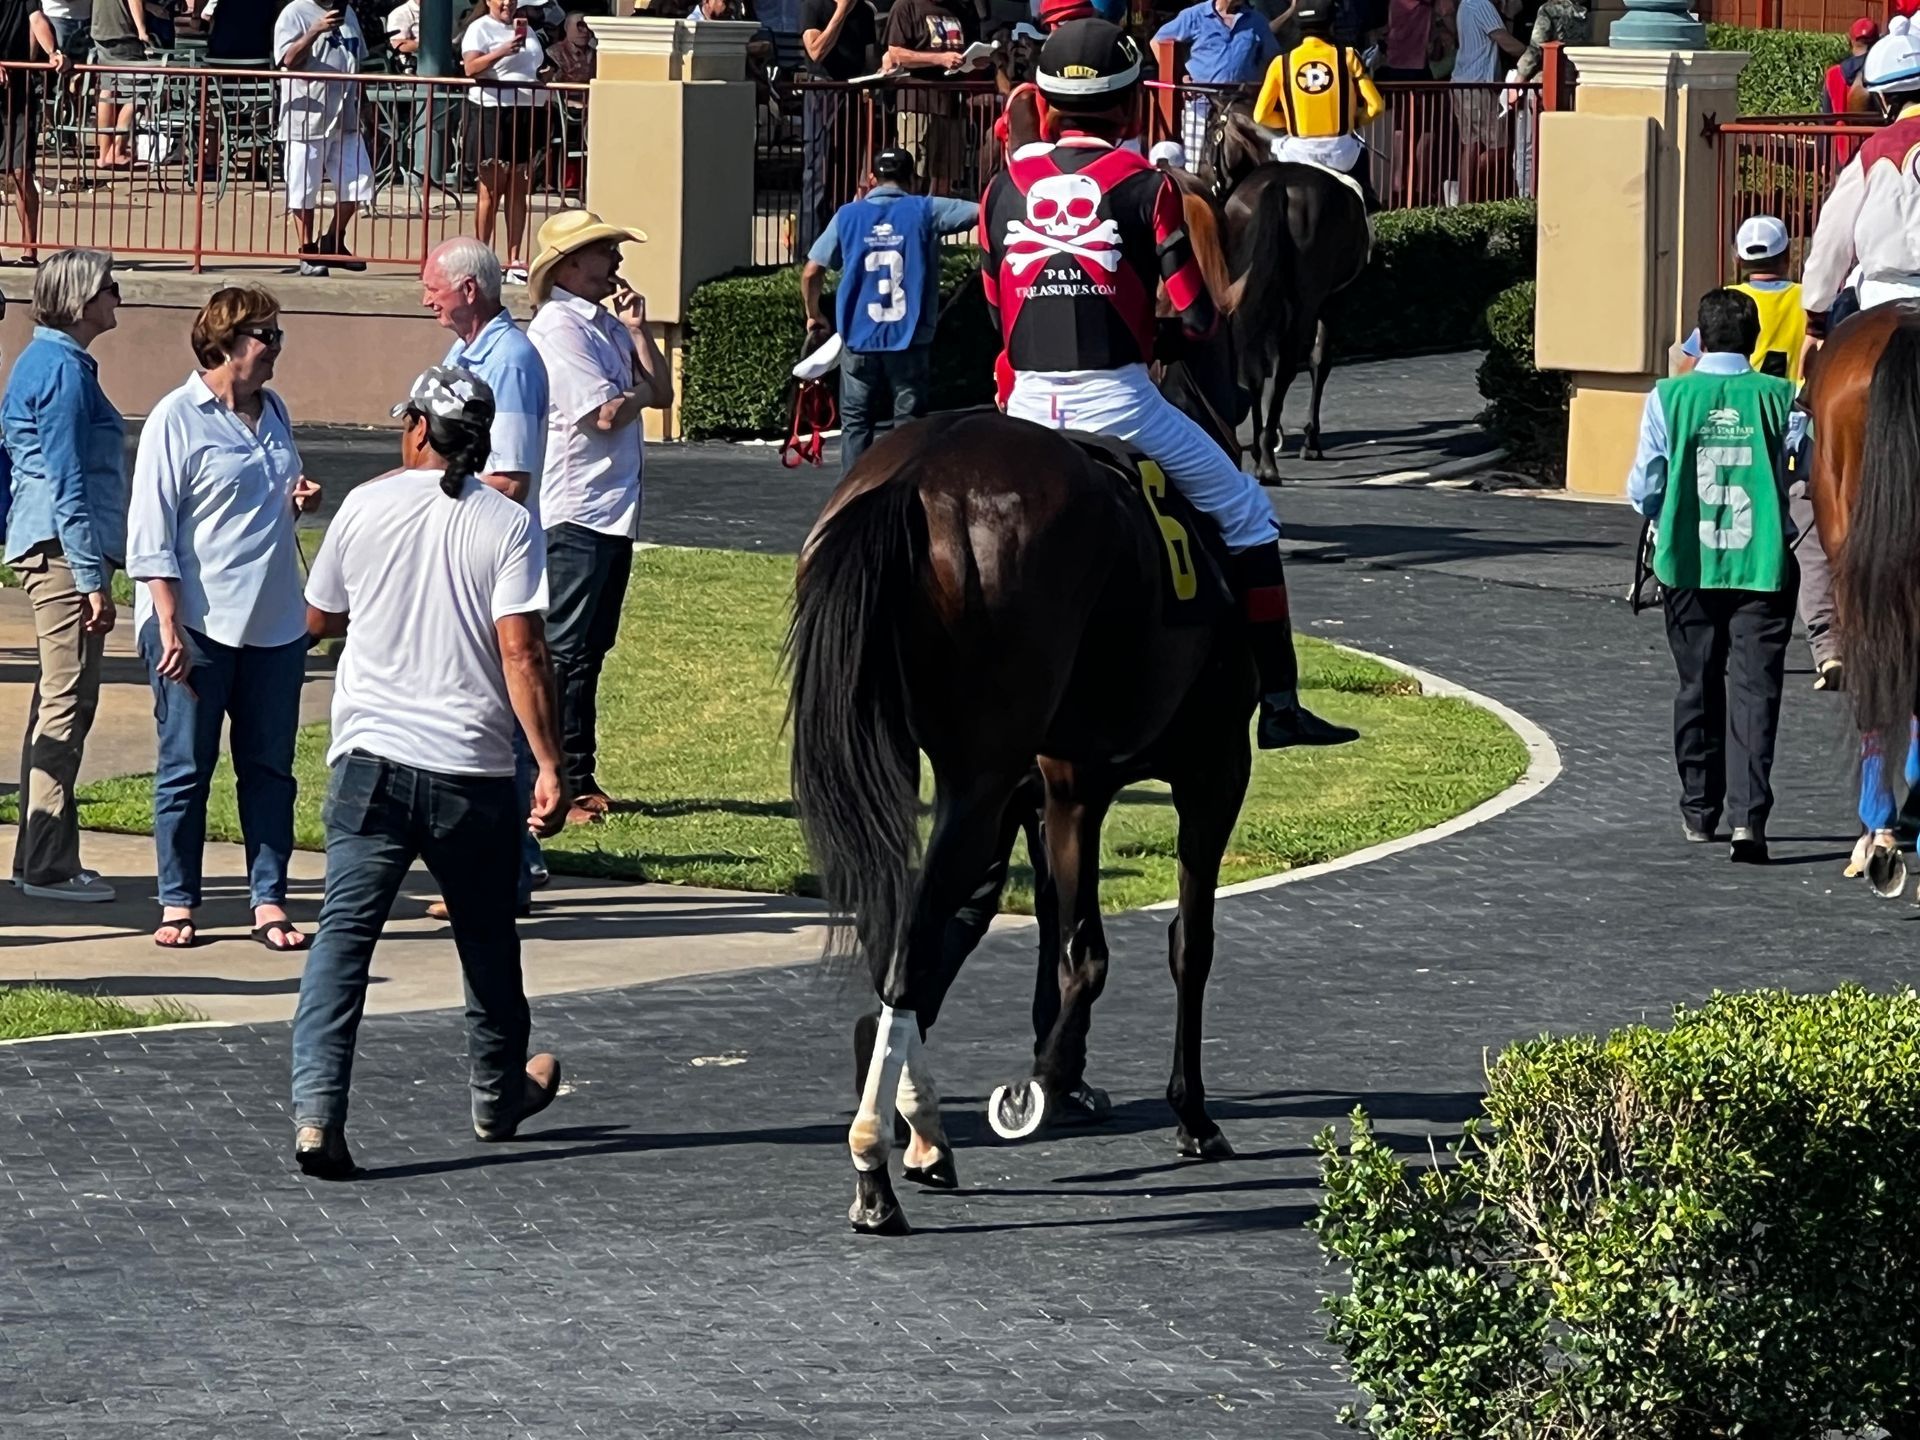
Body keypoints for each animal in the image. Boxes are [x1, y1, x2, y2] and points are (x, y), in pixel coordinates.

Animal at [786, 157, 1264, 1239]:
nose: (1247, 378)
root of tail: (913, 475)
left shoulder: (1051, 786)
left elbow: (1049, 929)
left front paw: (1058, 1076)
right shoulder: (1205, 769)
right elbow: (1178, 940)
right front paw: (1179, 1111)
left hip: (925, 766)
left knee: (899, 923)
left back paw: (912, 1134)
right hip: (981, 774)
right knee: (914, 935)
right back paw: (882, 1160)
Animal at [1198, 105, 1373, 480]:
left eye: (1206, 139)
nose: (1204, 181)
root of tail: (1278, 186)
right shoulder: (1333, 299)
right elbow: (1318, 361)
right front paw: (1310, 440)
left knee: (1251, 365)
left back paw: (1257, 448)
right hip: (1306, 301)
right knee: (1288, 366)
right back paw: (1267, 459)